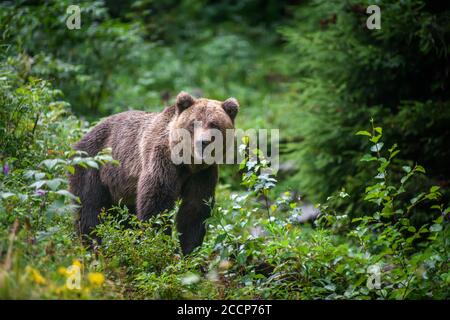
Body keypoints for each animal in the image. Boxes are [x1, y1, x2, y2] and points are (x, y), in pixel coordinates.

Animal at [68, 91, 239, 254]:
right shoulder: (162, 161)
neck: (188, 163)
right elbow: (156, 204)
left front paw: (189, 251)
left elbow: (194, 209)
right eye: (193, 123)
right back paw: (94, 246)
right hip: (93, 167)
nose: (203, 142)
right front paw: (160, 245)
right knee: (90, 210)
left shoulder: (202, 174)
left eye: (214, 124)